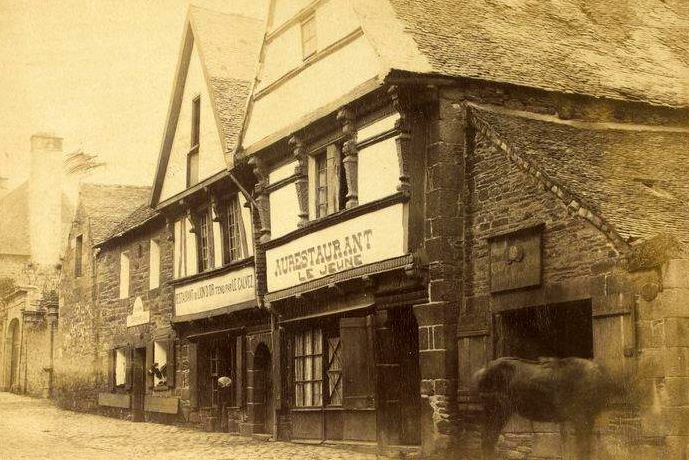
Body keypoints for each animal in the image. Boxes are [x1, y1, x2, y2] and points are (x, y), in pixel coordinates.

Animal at [472, 358, 620, 460]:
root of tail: (480, 372)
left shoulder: (586, 418)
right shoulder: (581, 417)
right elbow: (582, 448)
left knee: (488, 439)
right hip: (498, 409)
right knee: (488, 439)